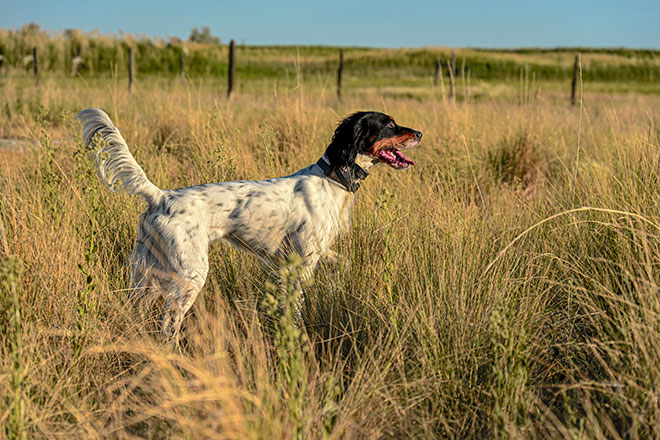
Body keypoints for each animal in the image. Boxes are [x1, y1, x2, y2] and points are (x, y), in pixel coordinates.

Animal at [75, 109, 420, 344]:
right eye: (389, 124)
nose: (419, 133)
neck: (333, 178)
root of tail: (160, 196)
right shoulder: (300, 265)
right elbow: (296, 308)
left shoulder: (312, 255)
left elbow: (341, 265)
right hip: (189, 273)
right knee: (168, 325)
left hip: (147, 274)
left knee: (135, 309)